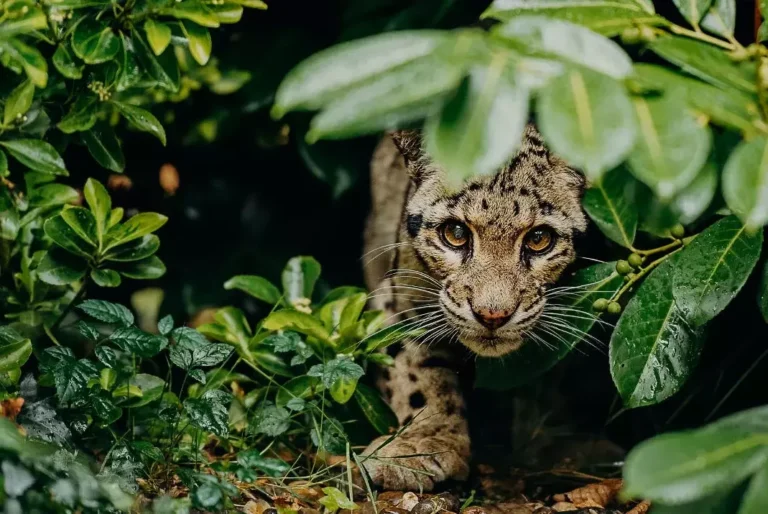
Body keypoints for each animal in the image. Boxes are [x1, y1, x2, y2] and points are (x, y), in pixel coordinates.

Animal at [359, 124, 588, 491]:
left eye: (539, 239)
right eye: (455, 233)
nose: (492, 314)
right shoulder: (400, 301)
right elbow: (415, 373)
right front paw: (421, 445)